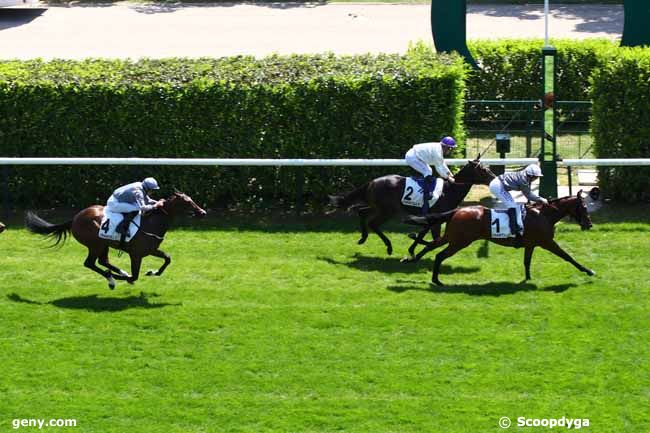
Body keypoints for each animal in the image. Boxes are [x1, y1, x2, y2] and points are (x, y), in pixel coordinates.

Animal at [25, 192, 205, 286]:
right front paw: (123, 278)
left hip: (103, 244)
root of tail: (75, 218)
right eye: (187, 202)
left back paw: (116, 273)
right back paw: (112, 279)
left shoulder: (151, 250)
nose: (203, 212)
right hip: (95, 244)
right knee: (90, 263)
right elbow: (134, 277)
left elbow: (167, 258)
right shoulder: (136, 254)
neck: (152, 223)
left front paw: (152, 272)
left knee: (102, 261)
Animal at [326, 160, 494, 258]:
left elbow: (424, 232)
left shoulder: (432, 217)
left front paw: (412, 249)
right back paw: (388, 247)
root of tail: (372, 182)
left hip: (378, 207)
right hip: (388, 211)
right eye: (484, 170)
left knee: (362, 212)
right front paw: (416, 247)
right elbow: (432, 237)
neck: (450, 190)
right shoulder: (436, 218)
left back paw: (363, 237)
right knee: (373, 223)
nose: (494, 178)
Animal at [404, 191, 592, 286]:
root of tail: (458, 210)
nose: (589, 224)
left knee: (431, 246)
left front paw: (528, 279)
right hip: (460, 241)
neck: (544, 214)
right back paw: (436, 280)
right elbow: (568, 257)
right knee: (439, 254)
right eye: (583, 207)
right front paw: (588, 270)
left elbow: (527, 262)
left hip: (453, 237)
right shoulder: (547, 242)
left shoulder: (531, 244)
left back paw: (411, 259)